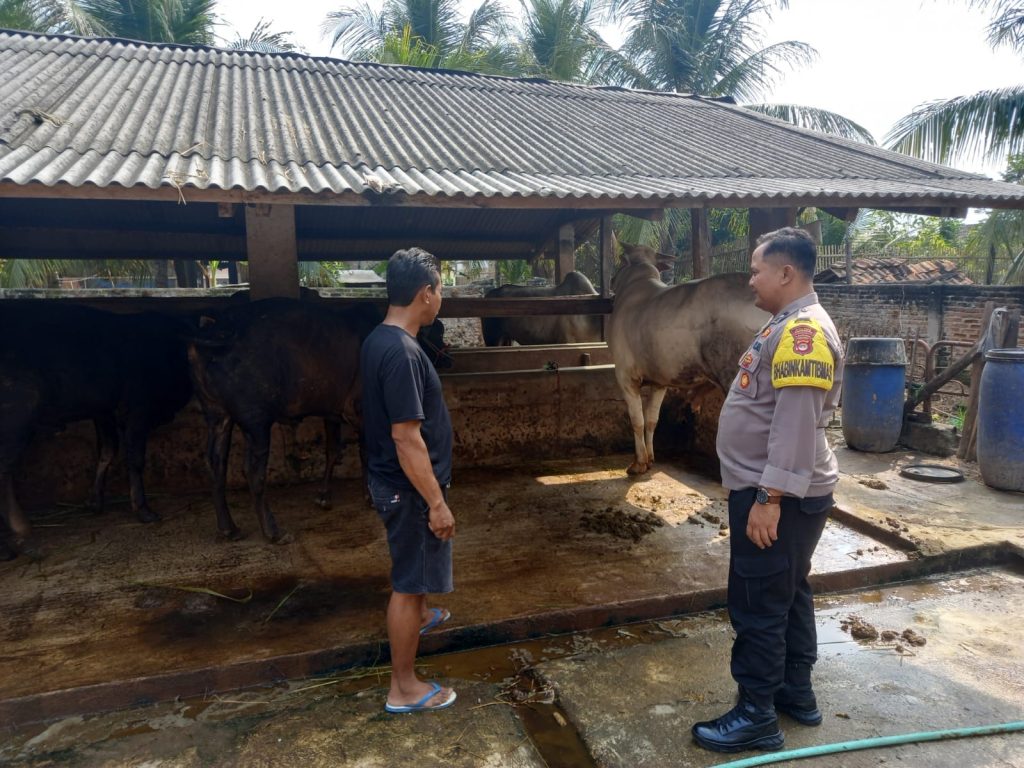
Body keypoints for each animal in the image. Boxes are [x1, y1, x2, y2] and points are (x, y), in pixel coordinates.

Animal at [0, 303, 192, 561]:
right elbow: (134, 459)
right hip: (17, 416)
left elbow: (107, 451)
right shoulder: (137, 410)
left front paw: (94, 501)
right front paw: (143, 510)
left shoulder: (103, 411)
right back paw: (20, 538)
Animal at [606, 243, 770, 479]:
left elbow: (637, 422)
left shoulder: (625, 376)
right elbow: (651, 420)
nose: (611, 280)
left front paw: (638, 463)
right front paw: (650, 459)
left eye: (620, 260)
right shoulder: (660, 381)